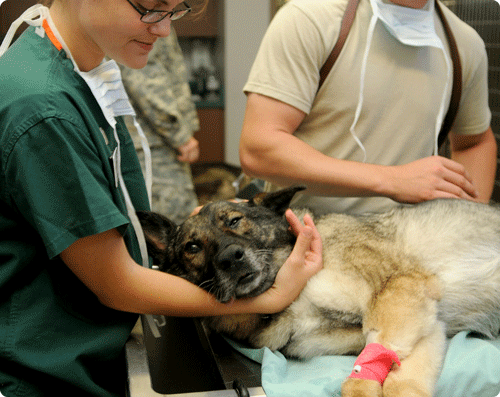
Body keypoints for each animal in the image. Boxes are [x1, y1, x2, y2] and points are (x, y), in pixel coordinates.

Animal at [139, 186, 500, 396]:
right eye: (193, 247)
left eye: (235, 220)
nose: (230, 258)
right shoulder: (425, 324)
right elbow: (398, 375)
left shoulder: (399, 290)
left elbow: (374, 372)